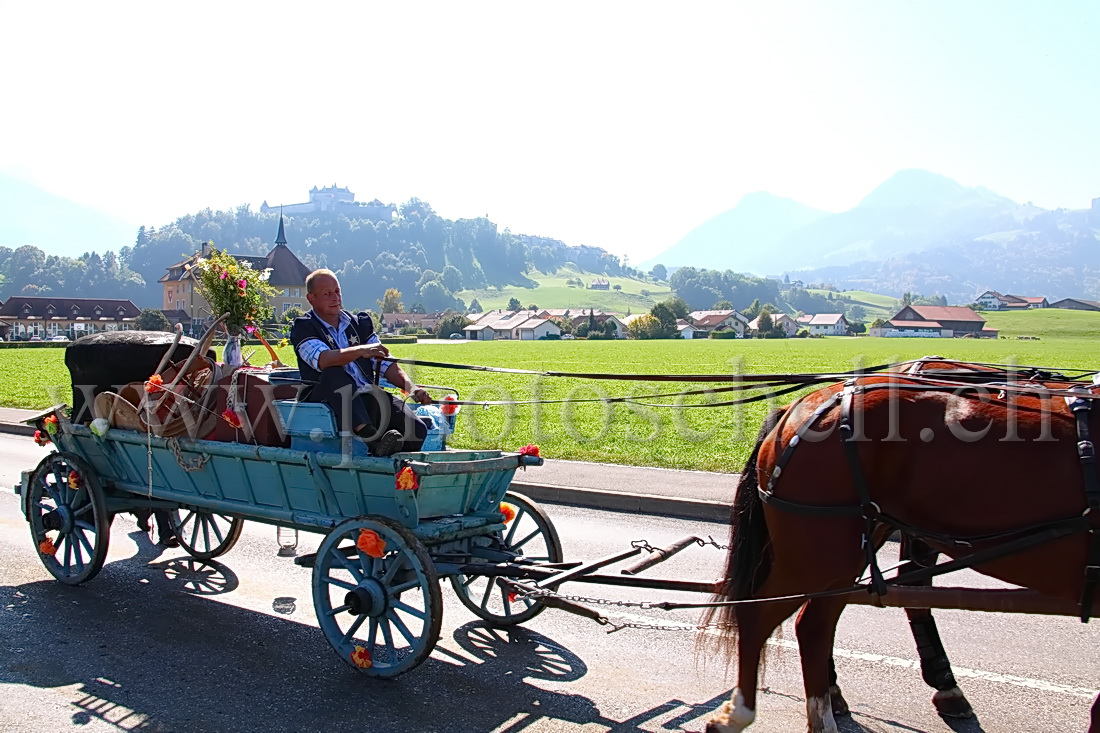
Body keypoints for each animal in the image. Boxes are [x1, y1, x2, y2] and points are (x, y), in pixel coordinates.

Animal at [699, 363, 1095, 730]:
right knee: (760, 614)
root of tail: (802, 406)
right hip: (818, 555)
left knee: (816, 623)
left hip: (848, 549)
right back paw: (740, 714)